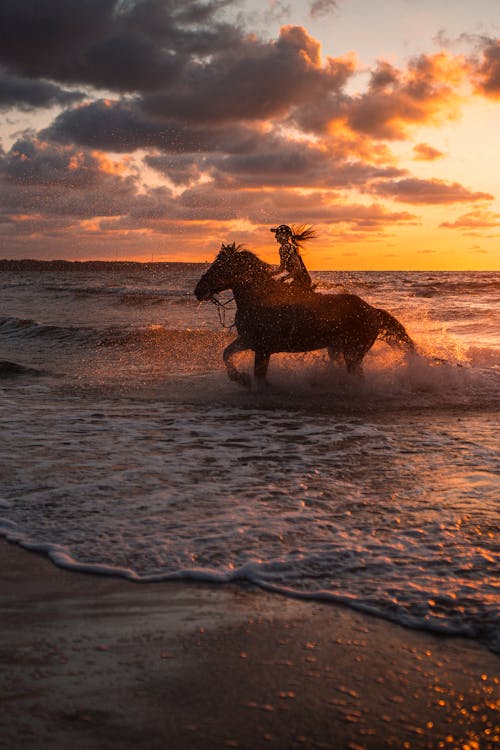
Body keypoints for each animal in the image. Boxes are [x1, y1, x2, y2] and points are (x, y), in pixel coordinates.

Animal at [193, 244, 416, 390]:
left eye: (220, 266)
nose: (198, 290)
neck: (259, 298)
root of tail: (372, 310)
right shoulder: (248, 341)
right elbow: (227, 354)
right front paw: (241, 379)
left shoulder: (262, 348)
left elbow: (259, 376)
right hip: (337, 349)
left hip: (353, 353)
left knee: (358, 377)